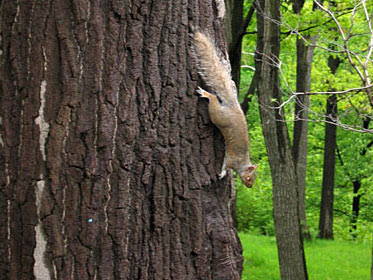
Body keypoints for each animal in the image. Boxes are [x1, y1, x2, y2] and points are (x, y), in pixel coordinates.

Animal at [192, 30, 256, 188]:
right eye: (249, 178)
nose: (250, 186)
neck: (242, 163)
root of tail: (233, 105)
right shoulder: (232, 159)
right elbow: (225, 166)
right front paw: (221, 174)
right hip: (217, 115)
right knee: (213, 99)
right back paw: (205, 94)